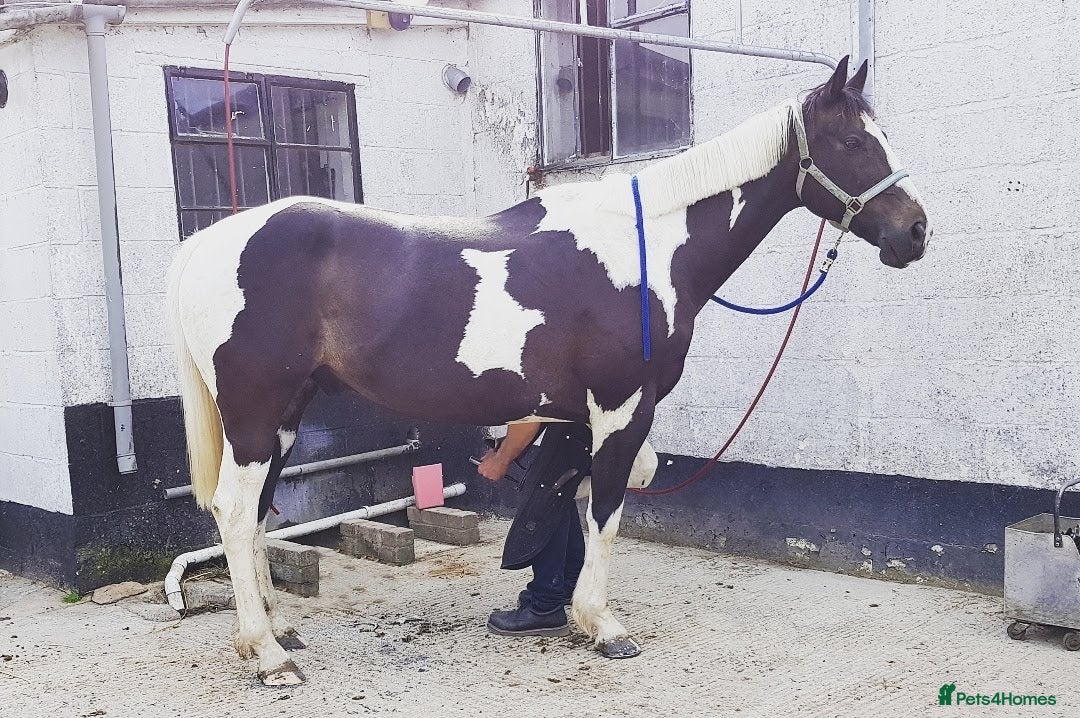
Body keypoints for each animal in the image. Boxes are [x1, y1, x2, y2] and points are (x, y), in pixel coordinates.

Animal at [166, 56, 929, 685]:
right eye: (854, 143)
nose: (916, 233)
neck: (645, 249)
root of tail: (208, 243)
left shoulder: (581, 416)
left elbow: (581, 498)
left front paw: (560, 610)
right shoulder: (622, 406)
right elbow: (610, 512)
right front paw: (604, 626)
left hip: (283, 417)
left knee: (257, 515)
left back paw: (279, 631)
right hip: (256, 415)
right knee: (235, 511)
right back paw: (268, 656)